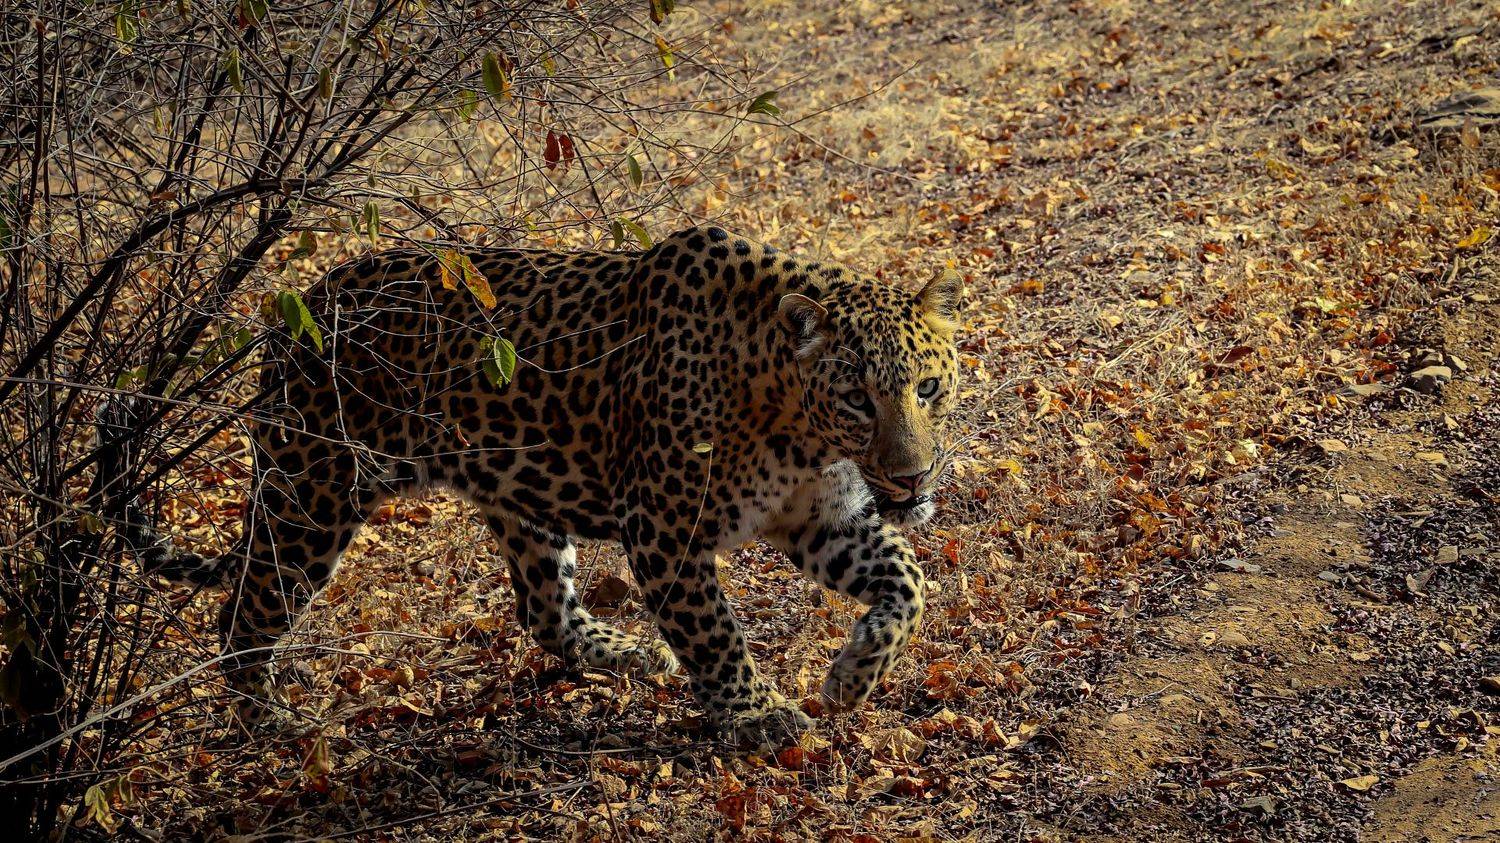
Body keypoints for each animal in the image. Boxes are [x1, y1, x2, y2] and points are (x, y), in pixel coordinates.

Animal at [113, 225, 961, 745]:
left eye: (926, 386)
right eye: (858, 397)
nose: (913, 474)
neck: (798, 428)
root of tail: (290, 312)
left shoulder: (825, 518)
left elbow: (910, 582)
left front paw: (852, 676)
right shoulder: (665, 531)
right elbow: (716, 633)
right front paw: (758, 717)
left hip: (520, 499)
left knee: (543, 609)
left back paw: (627, 652)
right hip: (311, 493)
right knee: (241, 615)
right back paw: (276, 725)